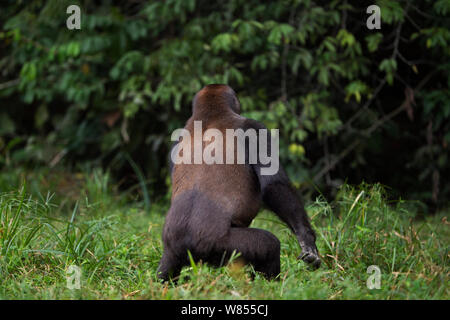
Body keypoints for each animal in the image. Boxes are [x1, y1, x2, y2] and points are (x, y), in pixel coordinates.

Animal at [158, 84, 320, 280]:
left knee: (167, 267)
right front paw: (306, 237)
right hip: (219, 245)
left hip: (173, 249)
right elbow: (274, 185)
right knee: (270, 247)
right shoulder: (255, 129)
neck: (210, 115)